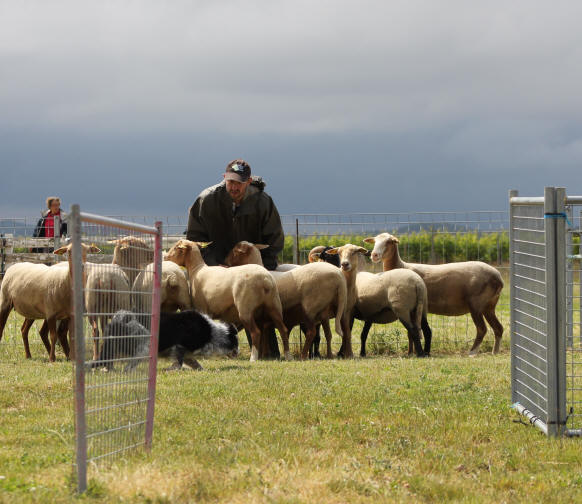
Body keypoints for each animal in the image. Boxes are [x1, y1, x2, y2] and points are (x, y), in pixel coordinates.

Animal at [368, 232, 504, 354]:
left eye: (389, 242)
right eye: (374, 241)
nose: (374, 255)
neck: (401, 266)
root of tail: (498, 278)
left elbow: (411, 332)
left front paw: (411, 352)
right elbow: (410, 333)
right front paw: (411, 352)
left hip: (476, 304)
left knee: (482, 329)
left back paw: (472, 352)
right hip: (489, 305)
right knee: (498, 328)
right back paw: (495, 352)